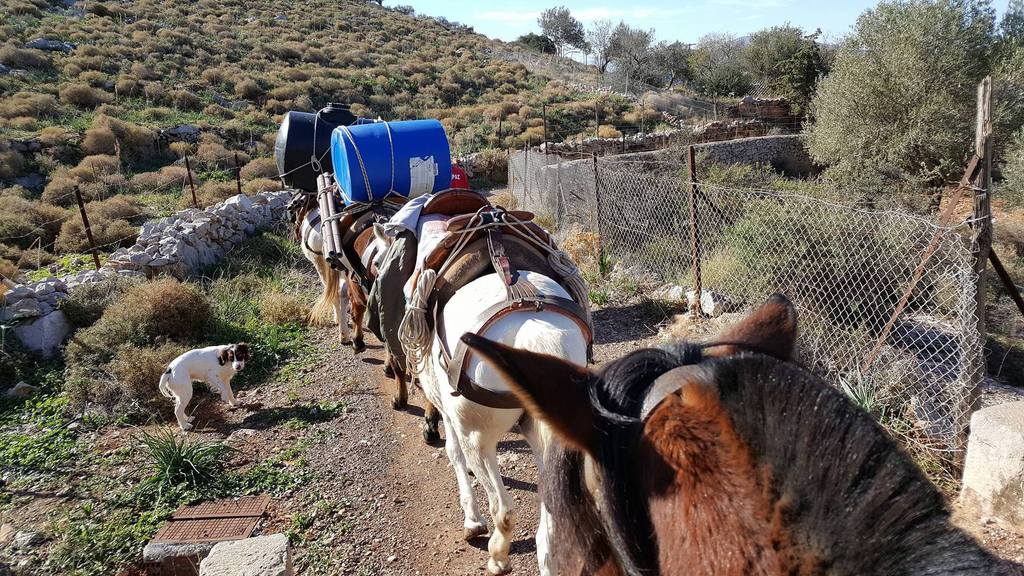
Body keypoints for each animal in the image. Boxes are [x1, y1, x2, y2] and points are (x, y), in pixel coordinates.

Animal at [369, 219, 590, 576]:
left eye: (377, 261)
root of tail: (535, 332)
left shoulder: (450, 416)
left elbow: (453, 454)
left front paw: (472, 521)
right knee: (550, 526)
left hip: (479, 437)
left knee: (503, 508)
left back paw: (497, 555)